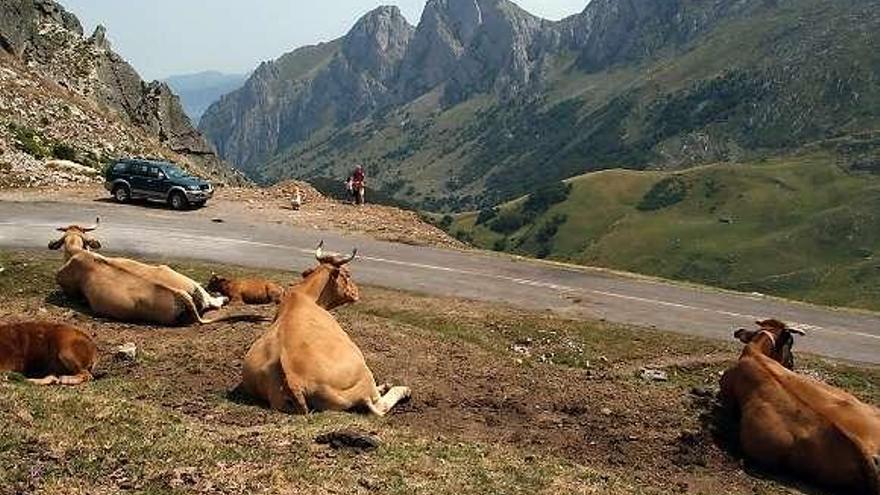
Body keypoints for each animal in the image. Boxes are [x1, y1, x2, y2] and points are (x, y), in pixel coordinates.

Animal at [235, 242, 410, 416]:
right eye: (347, 274)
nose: (356, 292)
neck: (305, 296)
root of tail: (293, 378)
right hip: (363, 376)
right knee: (379, 406)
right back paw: (401, 389)